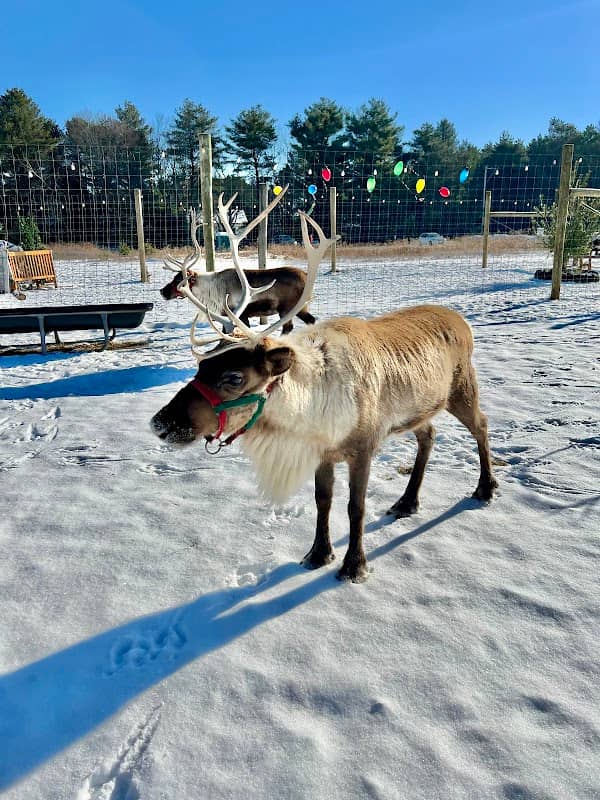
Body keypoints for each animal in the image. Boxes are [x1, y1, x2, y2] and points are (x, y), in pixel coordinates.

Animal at [160, 187, 316, 334]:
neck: (210, 291)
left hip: (288, 308)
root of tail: (306, 276)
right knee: (309, 321)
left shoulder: (239, 315)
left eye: (178, 280)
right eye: (174, 277)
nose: (162, 291)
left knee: (294, 325)